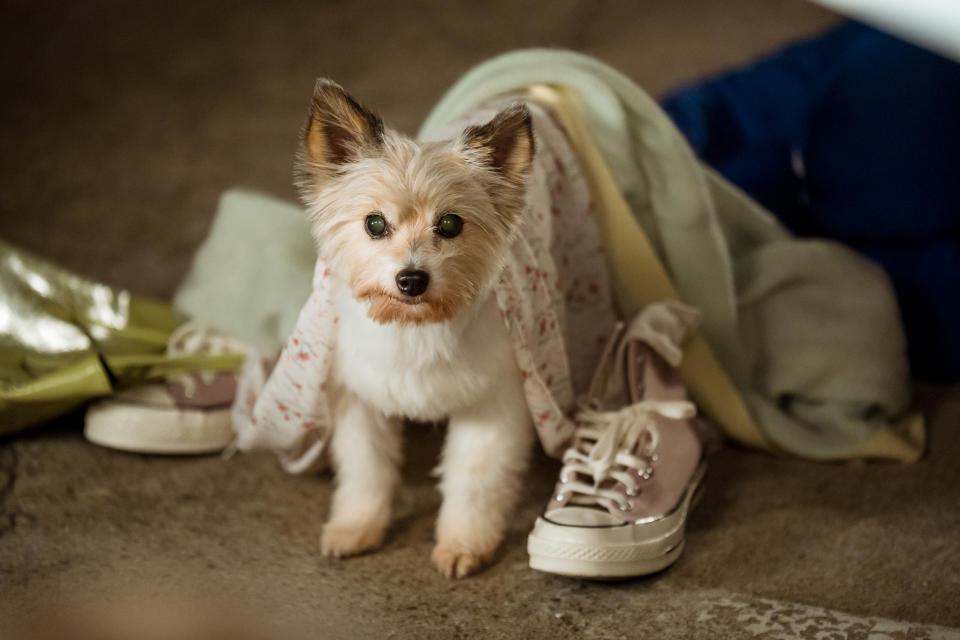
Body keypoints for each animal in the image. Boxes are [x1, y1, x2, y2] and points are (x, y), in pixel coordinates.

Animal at [292, 81, 540, 580]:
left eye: (450, 224)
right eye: (374, 223)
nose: (411, 279)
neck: (414, 327)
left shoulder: (491, 409)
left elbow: (473, 484)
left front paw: (464, 544)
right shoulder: (359, 400)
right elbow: (365, 472)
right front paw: (355, 528)